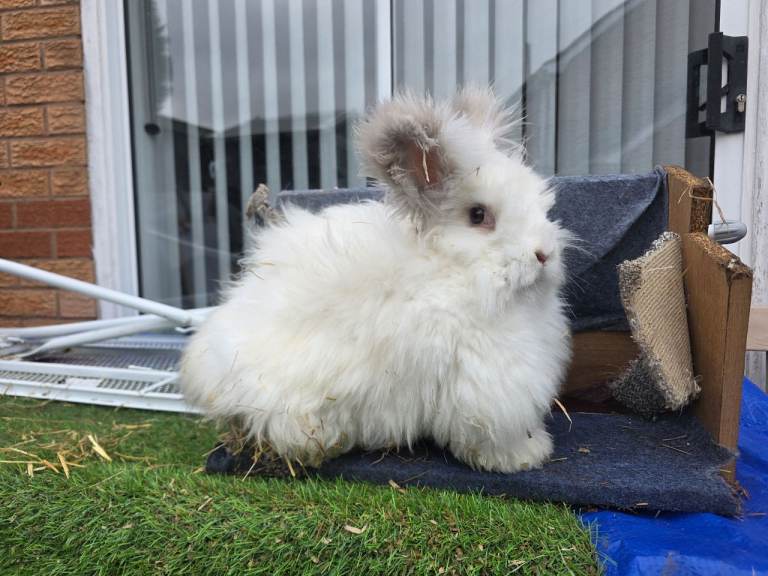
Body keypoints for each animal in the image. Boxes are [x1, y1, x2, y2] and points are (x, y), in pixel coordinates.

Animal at [179, 87, 571, 473]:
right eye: (479, 215)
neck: (451, 272)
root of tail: (206, 368)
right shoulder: (484, 384)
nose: (544, 254)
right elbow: (491, 433)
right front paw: (526, 456)